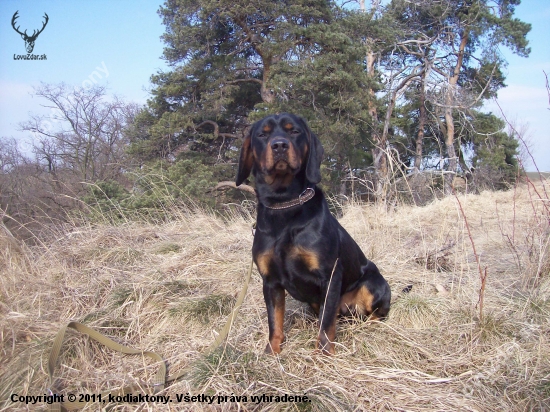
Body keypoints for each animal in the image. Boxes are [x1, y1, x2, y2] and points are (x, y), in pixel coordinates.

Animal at [237, 112, 392, 354]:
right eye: (262, 134)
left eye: (294, 131)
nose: (279, 145)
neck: (284, 204)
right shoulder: (270, 281)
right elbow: (275, 321)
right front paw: (272, 351)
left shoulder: (329, 276)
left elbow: (326, 323)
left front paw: (324, 353)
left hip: (373, 284)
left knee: (376, 314)